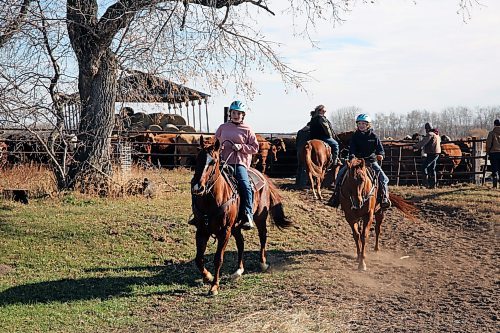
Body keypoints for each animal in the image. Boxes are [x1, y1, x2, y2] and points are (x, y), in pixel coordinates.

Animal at [191, 136, 292, 294]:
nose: (197, 187)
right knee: (241, 242)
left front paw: (214, 286)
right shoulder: (201, 230)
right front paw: (207, 277)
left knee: (263, 236)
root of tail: (263, 176)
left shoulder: (225, 231)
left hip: (260, 218)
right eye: (197, 158)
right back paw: (238, 271)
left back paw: (263, 263)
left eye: (213, 161)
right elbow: (198, 258)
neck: (211, 200)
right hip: (236, 226)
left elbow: (218, 258)